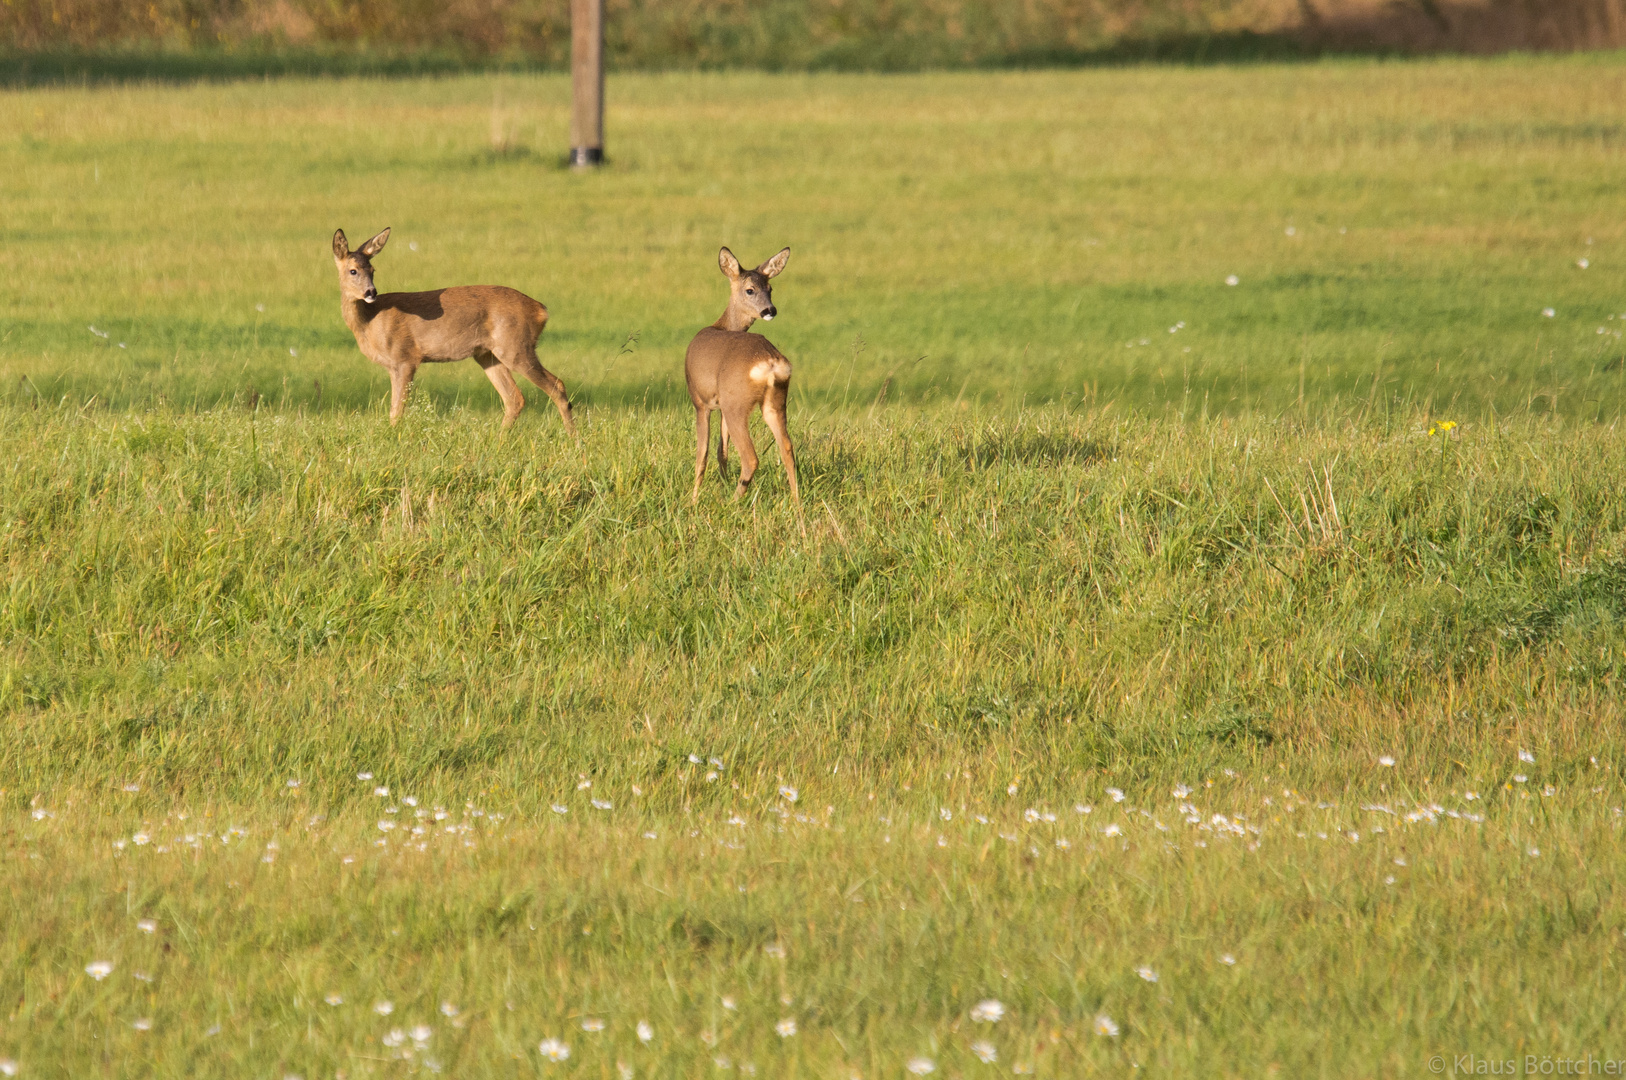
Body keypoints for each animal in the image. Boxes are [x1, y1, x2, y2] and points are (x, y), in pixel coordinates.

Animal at [326, 226, 575, 432]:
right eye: (353, 271)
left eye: (373, 269)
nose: (371, 292)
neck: (370, 321)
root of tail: (541, 310)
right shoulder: (395, 364)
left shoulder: (405, 358)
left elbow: (397, 411)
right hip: (487, 354)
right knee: (515, 398)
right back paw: (499, 440)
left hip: (515, 346)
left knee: (557, 385)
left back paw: (574, 440)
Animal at [682, 248, 796, 507]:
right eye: (751, 289)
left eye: (770, 288)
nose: (770, 310)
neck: (721, 325)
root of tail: (770, 361)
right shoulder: (720, 405)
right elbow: (721, 451)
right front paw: (721, 484)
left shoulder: (701, 402)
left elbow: (702, 454)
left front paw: (693, 501)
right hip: (774, 402)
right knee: (787, 448)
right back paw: (797, 505)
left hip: (737, 402)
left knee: (750, 457)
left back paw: (733, 503)